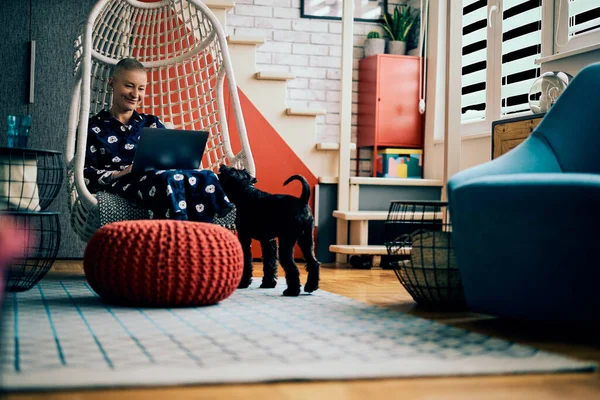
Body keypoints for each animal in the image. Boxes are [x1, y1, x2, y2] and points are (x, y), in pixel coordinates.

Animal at [216, 164, 318, 296]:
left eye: (230, 169)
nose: (222, 166)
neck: (246, 193)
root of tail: (302, 201)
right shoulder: (268, 241)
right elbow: (269, 262)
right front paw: (268, 283)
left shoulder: (245, 237)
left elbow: (248, 261)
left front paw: (243, 283)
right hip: (306, 241)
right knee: (314, 263)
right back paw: (311, 286)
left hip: (287, 242)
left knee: (292, 266)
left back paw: (292, 291)